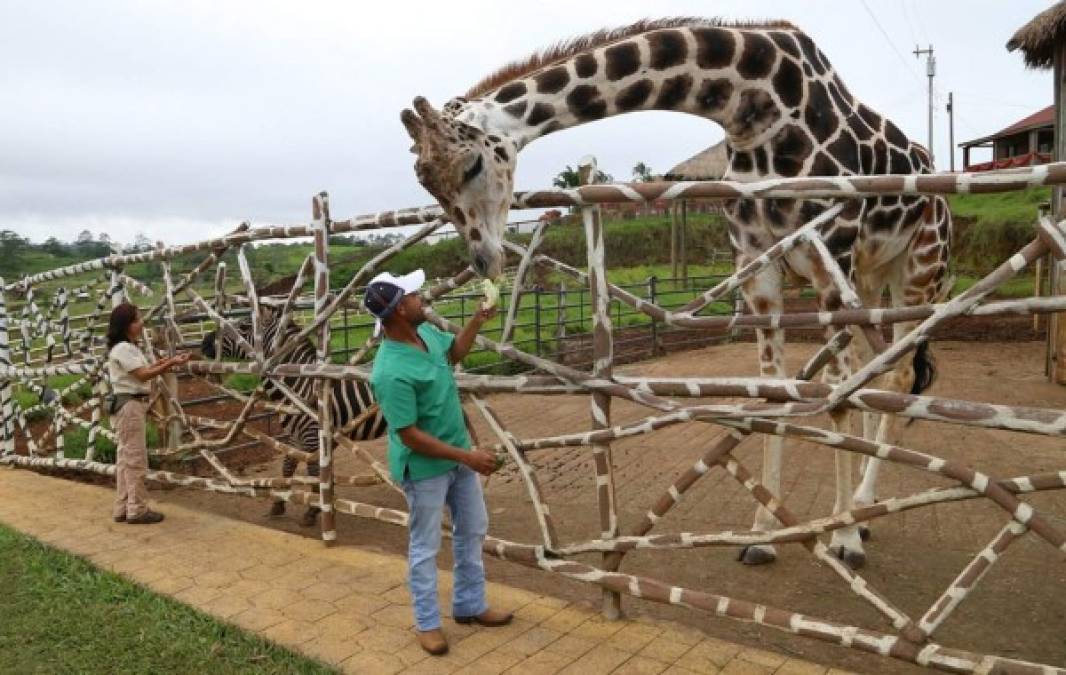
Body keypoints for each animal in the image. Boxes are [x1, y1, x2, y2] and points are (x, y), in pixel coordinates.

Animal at [201, 307, 385, 526]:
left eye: (244, 326)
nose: (204, 342)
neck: (299, 384)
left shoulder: (313, 435)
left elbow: (314, 472)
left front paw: (313, 510)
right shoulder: (294, 435)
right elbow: (287, 466)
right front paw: (279, 504)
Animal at [400, 17, 950, 567]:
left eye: (471, 167)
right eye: (428, 187)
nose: (485, 260)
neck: (753, 107)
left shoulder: (828, 253)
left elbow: (834, 398)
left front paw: (843, 538)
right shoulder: (757, 266)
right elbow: (777, 393)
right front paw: (762, 535)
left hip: (918, 270)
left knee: (899, 373)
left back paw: (860, 510)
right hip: (870, 275)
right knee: (875, 370)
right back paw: (865, 504)